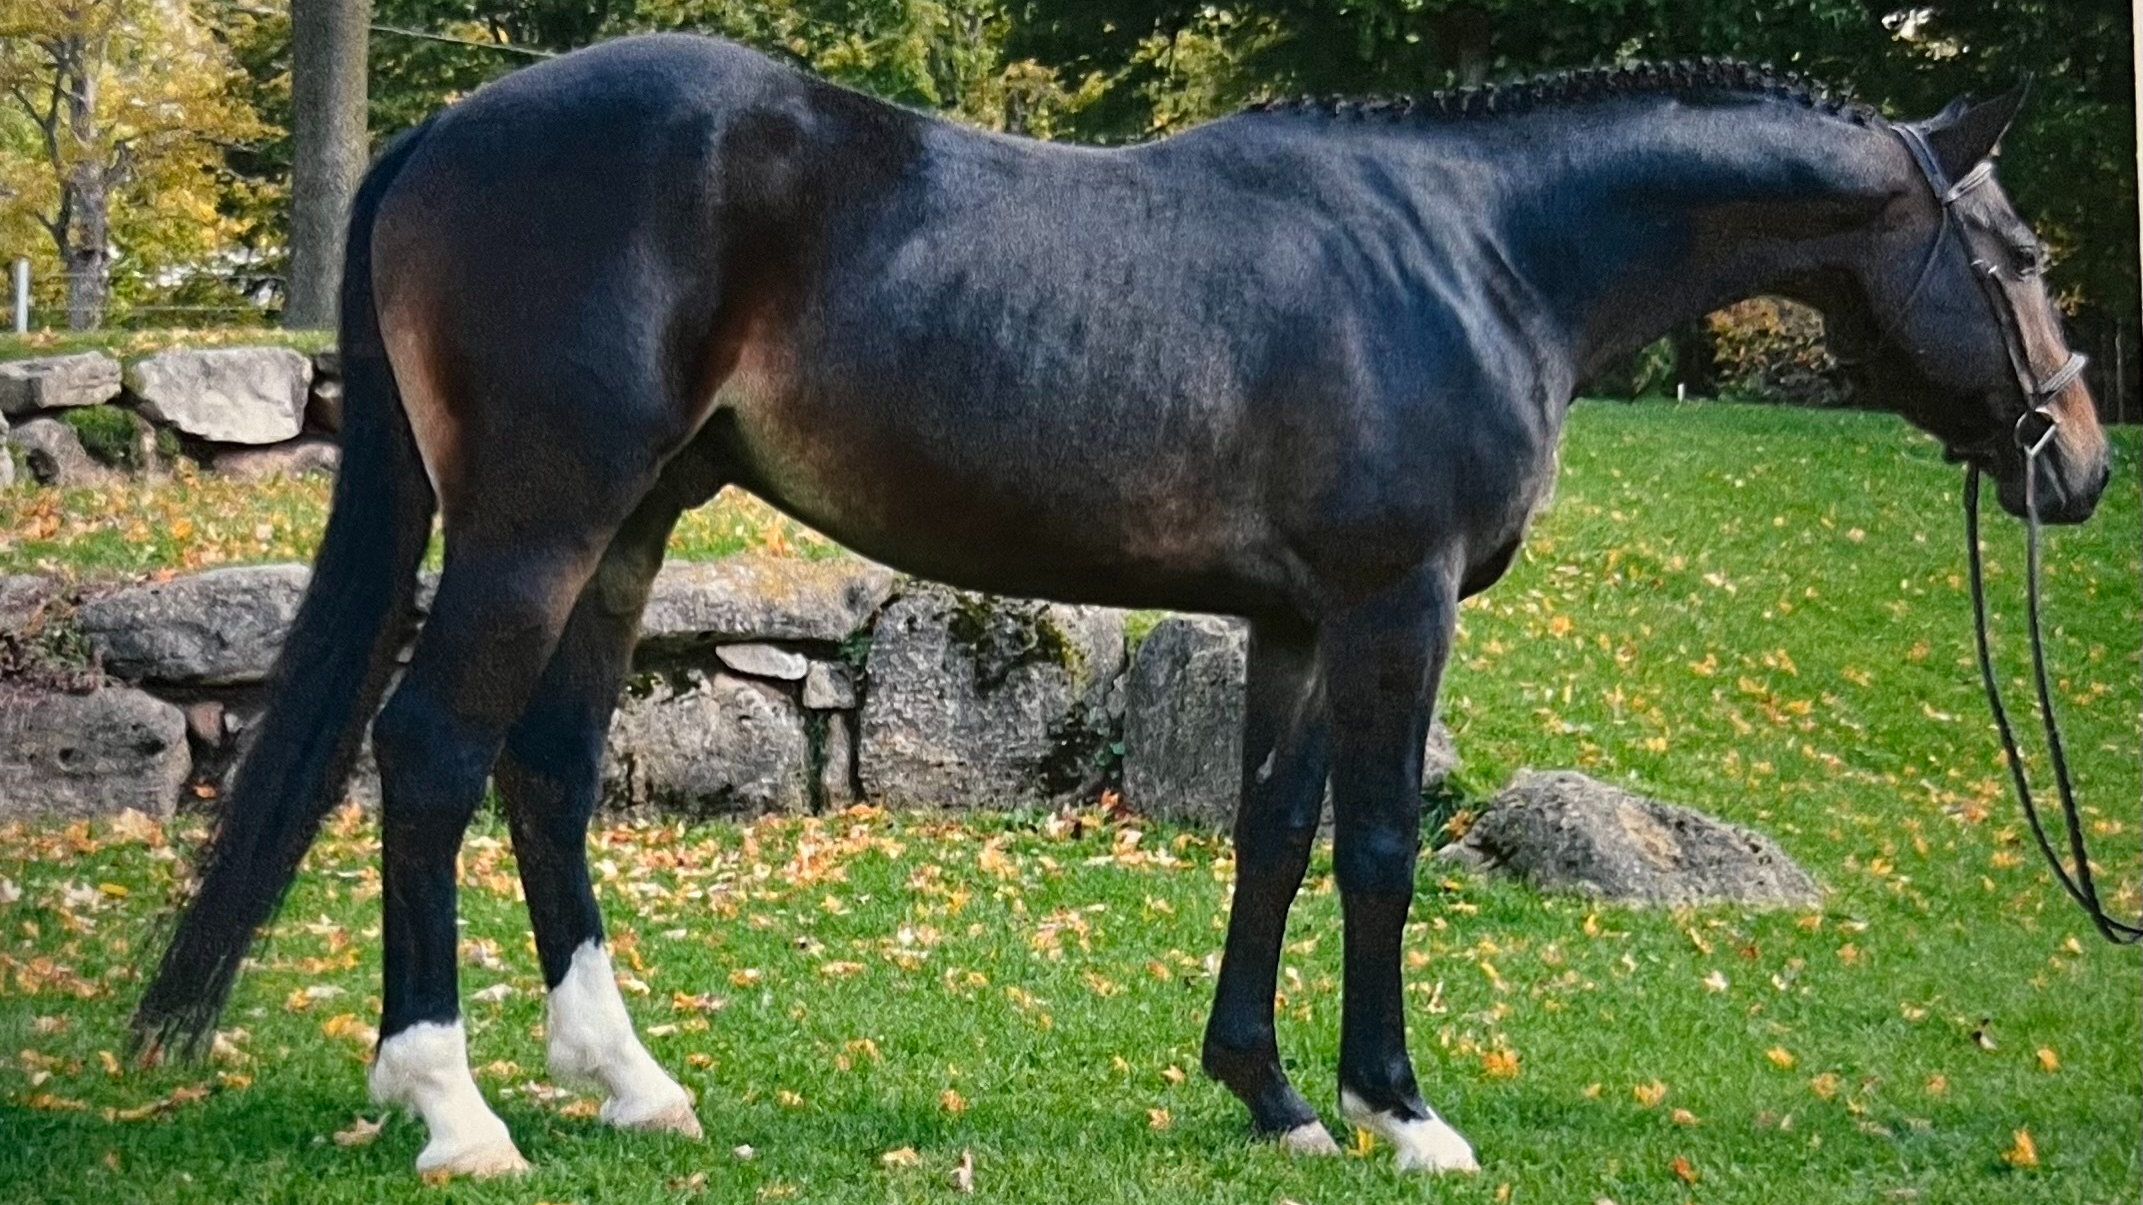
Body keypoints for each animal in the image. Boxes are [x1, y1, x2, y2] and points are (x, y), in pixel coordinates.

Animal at [133, 35, 2110, 1177]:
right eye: (2014, 257)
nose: (2076, 464)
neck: (1479, 254)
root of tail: (446, 134)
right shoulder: (1394, 609)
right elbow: (1377, 847)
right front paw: (1403, 1109)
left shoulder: (1298, 623)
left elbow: (1271, 836)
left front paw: (1274, 1097)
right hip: (536, 525)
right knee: (430, 755)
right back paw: (453, 1111)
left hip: (625, 533)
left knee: (541, 771)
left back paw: (629, 1085)